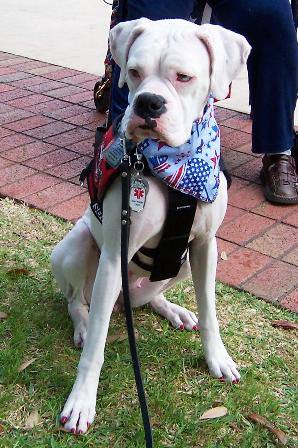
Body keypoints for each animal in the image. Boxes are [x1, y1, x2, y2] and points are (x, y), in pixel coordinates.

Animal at [51, 18, 251, 434]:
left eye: (184, 77)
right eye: (134, 72)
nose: (148, 103)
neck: (177, 163)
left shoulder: (206, 245)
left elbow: (211, 312)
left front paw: (217, 358)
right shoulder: (115, 255)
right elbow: (96, 346)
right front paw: (81, 401)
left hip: (183, 262)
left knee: (148, 295)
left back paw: (173, 309)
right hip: (77, 250)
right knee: (78, 302)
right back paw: (82, 325)